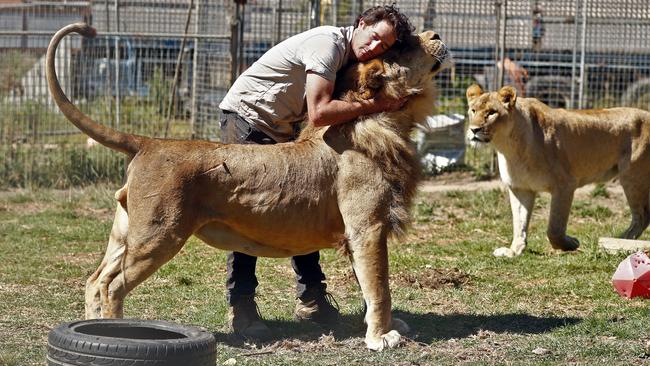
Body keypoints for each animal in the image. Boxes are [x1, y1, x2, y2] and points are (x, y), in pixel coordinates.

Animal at [45, 23, 448, 352]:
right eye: (403, 46)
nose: (437, 35)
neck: (391, 121)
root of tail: (148, 142)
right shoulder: (367, 226)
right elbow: (379, 285)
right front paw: (381, 337)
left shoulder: (360, 231)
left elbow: (369, 283)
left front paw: (387, 326)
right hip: (158, 235)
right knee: (112, 285)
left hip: (128, 233)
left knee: (95, 279)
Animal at [464, 84, 648, 258]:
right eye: (473, 111)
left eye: (491, 113)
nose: (473, 130)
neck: (509, 147)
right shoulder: (520, 188)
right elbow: (519, 223)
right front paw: (514, 251)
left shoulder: (565, 185)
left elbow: (554, 228)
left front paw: (571, 243)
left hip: (633, 176)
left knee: (642, 216)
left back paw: (620, 242)